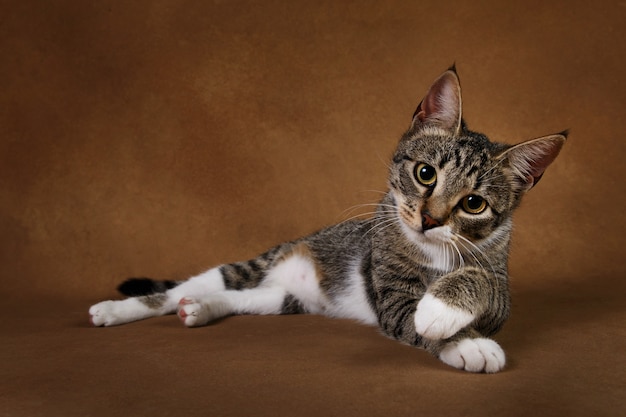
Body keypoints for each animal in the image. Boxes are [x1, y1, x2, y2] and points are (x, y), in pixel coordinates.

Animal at [89, 66, 564, 372]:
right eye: (425, 174)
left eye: (474, 204)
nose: (430, 220)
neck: (434, 252)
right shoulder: (389, 291)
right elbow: (410, 318)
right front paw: (464, 343)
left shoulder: (498, 279)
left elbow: (483, 283)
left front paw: (446, 310)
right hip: (259, 262)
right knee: (191, 287)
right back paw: (121, 309)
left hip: (286, 298)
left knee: (246, 298)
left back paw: (203, 309)